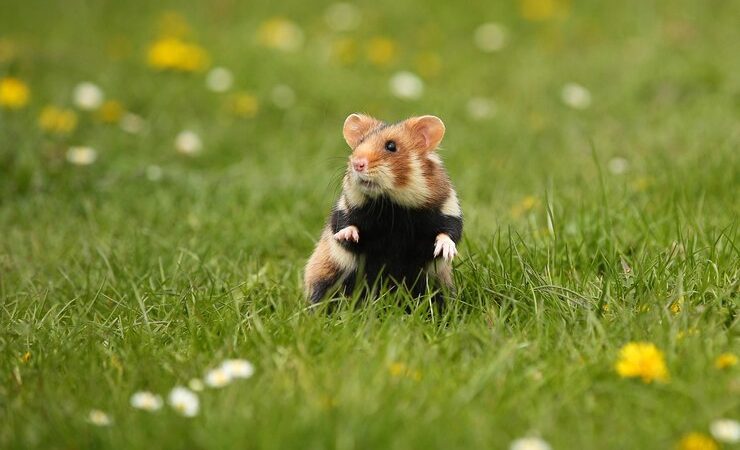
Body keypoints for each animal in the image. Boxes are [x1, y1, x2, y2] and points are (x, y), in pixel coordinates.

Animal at [304, 113, 463, 304]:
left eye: (391, 146)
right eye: (360, 143)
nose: (357, 164)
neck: (391, 205)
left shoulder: (448, 208)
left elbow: (449, 232)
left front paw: (446, 250)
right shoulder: (346, 207)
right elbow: (343, 224)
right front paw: (348, 235)